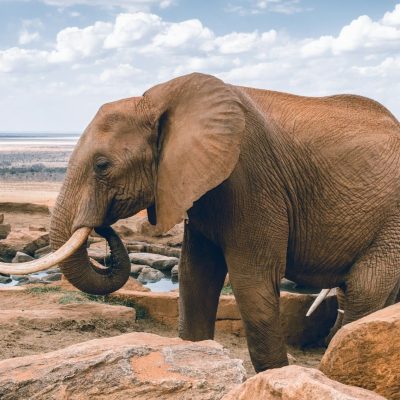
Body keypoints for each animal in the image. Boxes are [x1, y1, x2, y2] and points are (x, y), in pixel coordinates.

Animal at [1, 72, 398, 372]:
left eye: (102, 166)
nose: (103, 228)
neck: (158, 101)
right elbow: (195, 276)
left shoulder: (250, 177)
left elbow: (252, 282)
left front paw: (274, 376)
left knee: (365, 288)